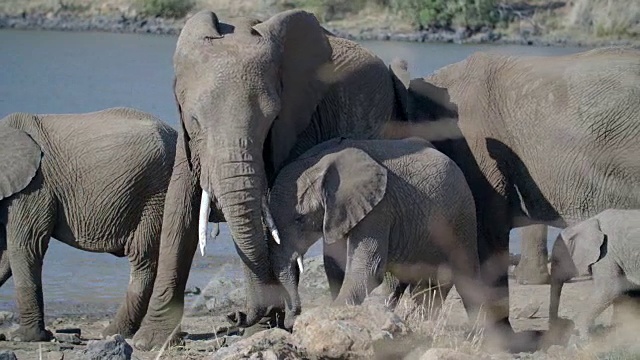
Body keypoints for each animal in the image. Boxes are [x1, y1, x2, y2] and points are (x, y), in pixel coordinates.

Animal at [0, 107, 176, 344]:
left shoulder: (34, 187)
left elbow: (26, 246)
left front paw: (23, 337)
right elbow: (5, 254)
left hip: (156, 192)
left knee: (143, 259)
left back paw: (112, 333)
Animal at [131, 9, 442, 350]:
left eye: (271, 119)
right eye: (195, 119)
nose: (235, 316)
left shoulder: (299, 122)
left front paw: (259, 330)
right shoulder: (186, 140)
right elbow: (179, 209)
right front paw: (149, 342)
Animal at [266, 137, 484, 330]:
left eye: (300, 219)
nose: (290, 320)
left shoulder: (379, 209)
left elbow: (367, 268)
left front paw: (333, 312)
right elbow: (336, 264)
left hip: (463, 216)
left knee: (465, 277)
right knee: (403, 282)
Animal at [548, 208, 640, 338]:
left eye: (556, 261)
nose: (562, 321)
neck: (589, 223)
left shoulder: (606, 253)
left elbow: (609, 289)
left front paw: (584, 337)